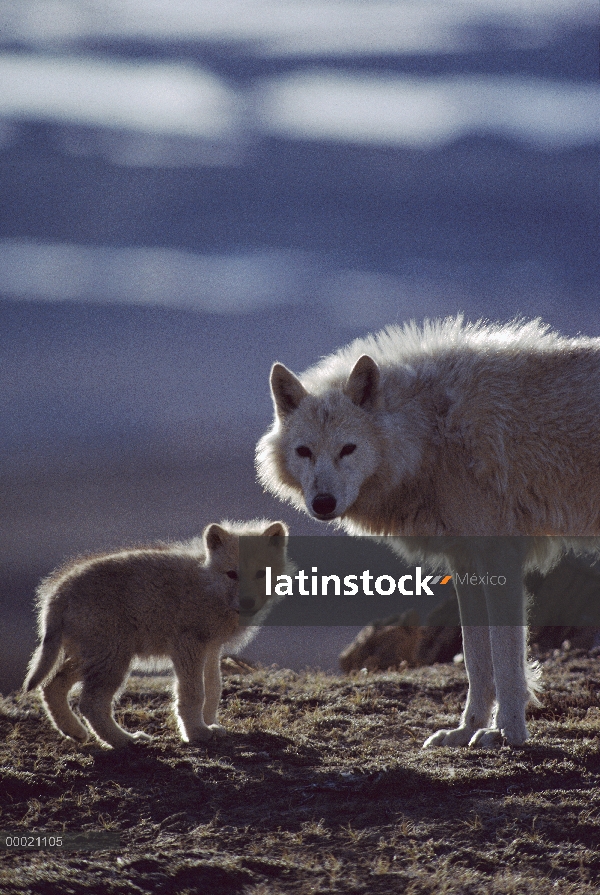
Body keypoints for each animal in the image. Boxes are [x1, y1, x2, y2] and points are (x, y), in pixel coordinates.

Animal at [256, 318, 600, 752]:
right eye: (304, 452)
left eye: (348, 449)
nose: (322, 503)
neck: (430, 432)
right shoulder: (465, 561)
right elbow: (475, 657)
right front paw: (467, 729)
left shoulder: (500, 556)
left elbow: (506, 658)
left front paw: (507, 733)